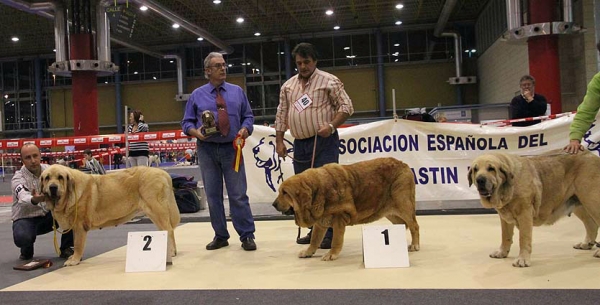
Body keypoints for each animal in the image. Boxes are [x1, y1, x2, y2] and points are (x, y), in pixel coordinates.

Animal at [39, 163, 179, 264]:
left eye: (60, 177)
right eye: (47, 178)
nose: (53, 187)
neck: (69, 194)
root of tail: (163, 173)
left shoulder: (79, 226)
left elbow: (78, 245)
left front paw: (74, 260)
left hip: (157, 210)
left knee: (169, 230)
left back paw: (171, 251)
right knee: (166, 230)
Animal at [274, 158, 420, 260]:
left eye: (285, 193)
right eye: (280, 192)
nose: (274, 204)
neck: (318, 190)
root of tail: (404, 164)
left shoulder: (339, 219)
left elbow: (335, 240)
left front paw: (332, 254)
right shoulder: (320, 223)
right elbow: (314, 240)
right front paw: (308, 252)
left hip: (403, 205)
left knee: (414, 226)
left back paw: (415, 245)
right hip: (390, 212)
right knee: (402, 225)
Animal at [468, 150, 600, 266]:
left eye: (491, 169)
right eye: (475, 169)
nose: (480, 179)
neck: (507, 188)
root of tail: (592, 155)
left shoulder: (525, 214)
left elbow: (524, 238)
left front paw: (522, 259)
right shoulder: (505, 218)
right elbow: (505, 236)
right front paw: (502, 252)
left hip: (591, 200)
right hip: (578, 203)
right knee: (591, 224)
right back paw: (586, 244)